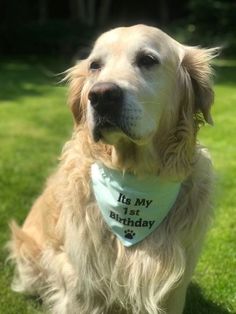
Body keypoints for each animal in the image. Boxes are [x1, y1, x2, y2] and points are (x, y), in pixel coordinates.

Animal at [7, 25, 218, 314]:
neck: (134, 176)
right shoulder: (81, 280)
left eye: (148, 60)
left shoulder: (174, 287)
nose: (101, 95)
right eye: (95, 65)